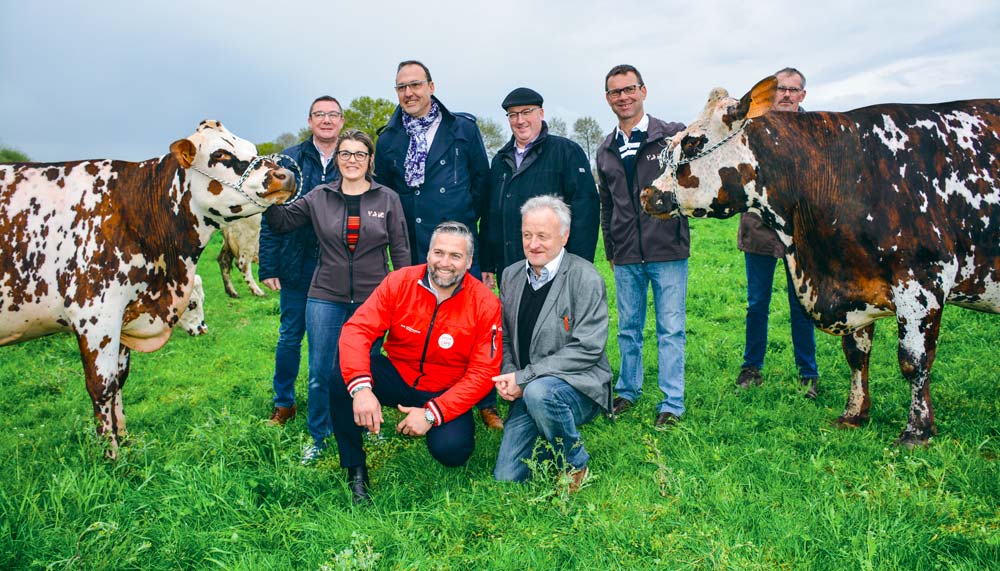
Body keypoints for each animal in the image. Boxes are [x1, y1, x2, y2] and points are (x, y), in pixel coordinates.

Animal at [0, 120, 294, 456]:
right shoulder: (95, 317)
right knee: (242, 264)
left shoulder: (123, 316)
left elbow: (119, 380)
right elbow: (101, 386)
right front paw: (110, 454)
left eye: (252, 150)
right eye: (220, 154)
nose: (286, 176)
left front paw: (125, 440)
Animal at [644, 78, 996, 446]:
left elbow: (914, 360)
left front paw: (917, 431)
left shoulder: (923, 280)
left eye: (693, 142)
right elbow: (856, 354)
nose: (647, 195)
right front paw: (854, 414)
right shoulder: (856, 281)